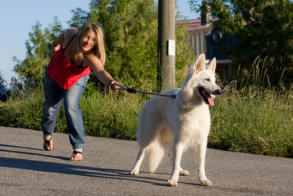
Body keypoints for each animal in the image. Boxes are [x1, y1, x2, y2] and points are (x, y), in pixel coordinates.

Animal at [130, 53, 221, 187]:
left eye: (214, 81)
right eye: (207, 80)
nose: (219, 91)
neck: (194, 108)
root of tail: (149, 101)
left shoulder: (201, 142)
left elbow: (200, 164)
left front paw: (203, 179)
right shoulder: (180, 140)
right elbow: (176, 162)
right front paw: (173, 179)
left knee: (170, 154)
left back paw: (181, 171)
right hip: (149, 136)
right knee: (141, 153)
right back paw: (135, 169)